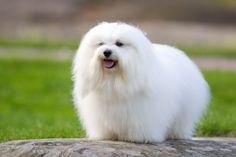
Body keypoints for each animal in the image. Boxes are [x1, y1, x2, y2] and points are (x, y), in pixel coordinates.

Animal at [72, 21, 210, 143]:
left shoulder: (143, 113)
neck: (114, 78)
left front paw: (140, 138)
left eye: (119, 44)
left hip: (185, 111)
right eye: (100, 43)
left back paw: (176, 135)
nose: (106, 52)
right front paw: (107, 136)